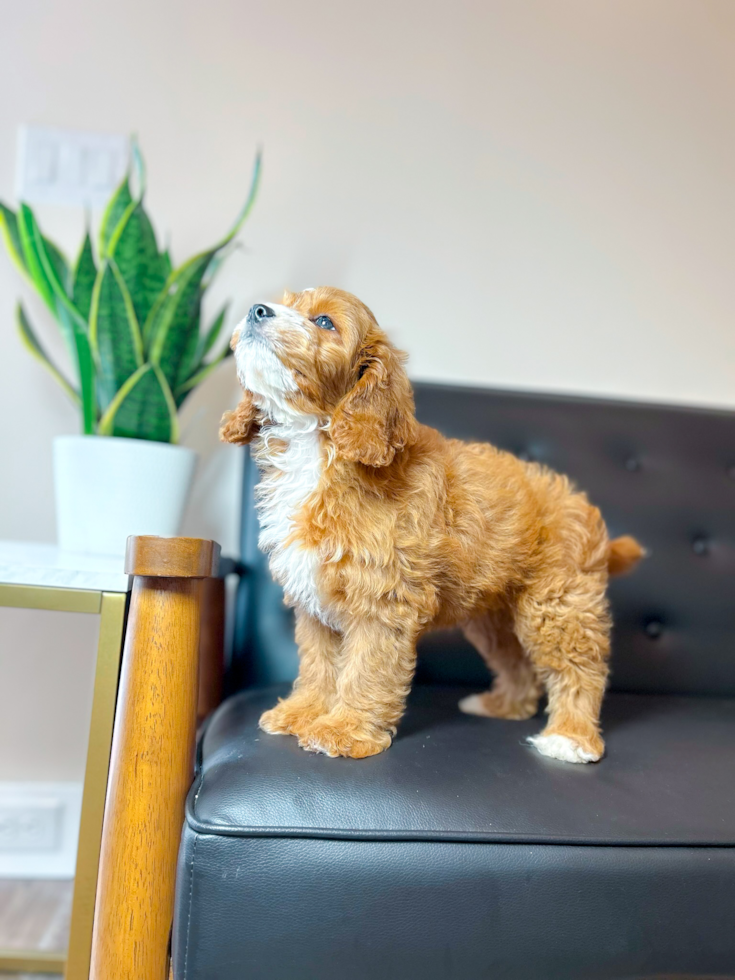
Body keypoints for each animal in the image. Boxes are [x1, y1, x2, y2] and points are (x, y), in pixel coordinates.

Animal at [220, 290, 644, 764]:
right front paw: (304, 712)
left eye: (325, 322)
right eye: (282, 302)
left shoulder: (382, 601)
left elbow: (364, 668)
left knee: (579, 668)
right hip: (494, 618)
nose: (257, 309)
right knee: (517, 664)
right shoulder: (315, 602)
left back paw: (571, 736)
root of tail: (582, 505)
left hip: (559, 605)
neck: (318, 443)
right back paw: (504, 705)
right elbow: (317, 664)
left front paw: (344, 730)